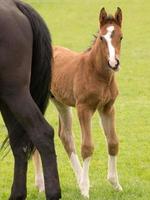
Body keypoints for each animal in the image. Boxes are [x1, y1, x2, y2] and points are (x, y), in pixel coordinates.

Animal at [0, 0, 61, 200]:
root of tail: (14, 5)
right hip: (7, 98)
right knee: (18, 142)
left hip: (16, 93)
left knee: (42, 133)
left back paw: (53, 193)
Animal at [33, 7, 123, 197]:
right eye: (102, 38)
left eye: (121, 37)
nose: (114, 63)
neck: (97, 73)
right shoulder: (84, 108)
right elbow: (87, 147)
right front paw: (85, 191)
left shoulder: (107, 108)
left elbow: (113, 142)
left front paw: (115, 184)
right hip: (39, 99)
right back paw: (41, 185)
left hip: (61, 103)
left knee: (65, 135)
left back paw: (80, 180)